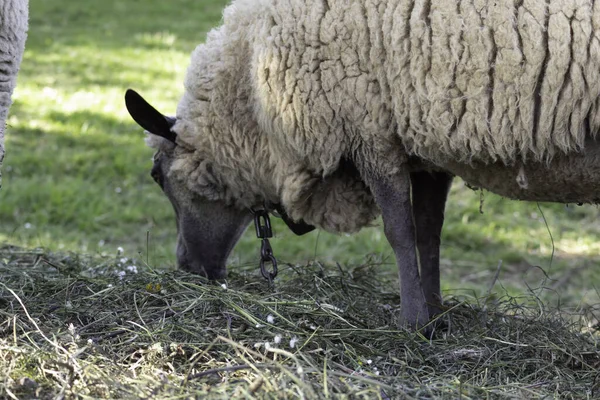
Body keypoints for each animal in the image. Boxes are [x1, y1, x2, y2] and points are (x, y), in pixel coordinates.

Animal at [125, 0, 600, 332]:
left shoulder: (370, 132)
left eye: (156, 175)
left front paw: (413, 324)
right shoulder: (424, 141)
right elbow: (428, 232)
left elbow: (400, 232)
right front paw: (434, 313)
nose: (187, 267)